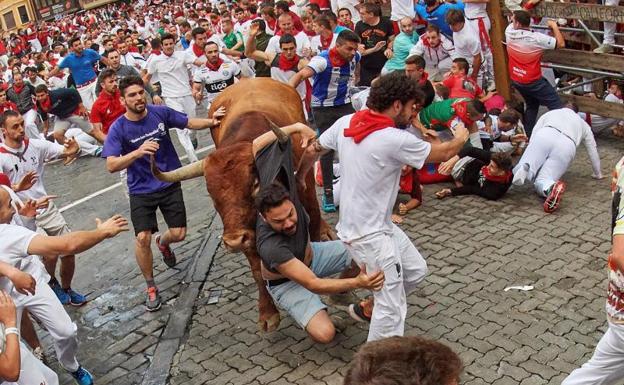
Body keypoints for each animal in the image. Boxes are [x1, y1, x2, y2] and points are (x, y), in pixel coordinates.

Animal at [151, 78, 334, 330]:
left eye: (254, 184)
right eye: (210, 193)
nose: (233, 241)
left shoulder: (304, 185)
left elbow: (314, 222)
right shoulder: (249, 231)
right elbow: (257, 270)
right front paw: (267, 313)